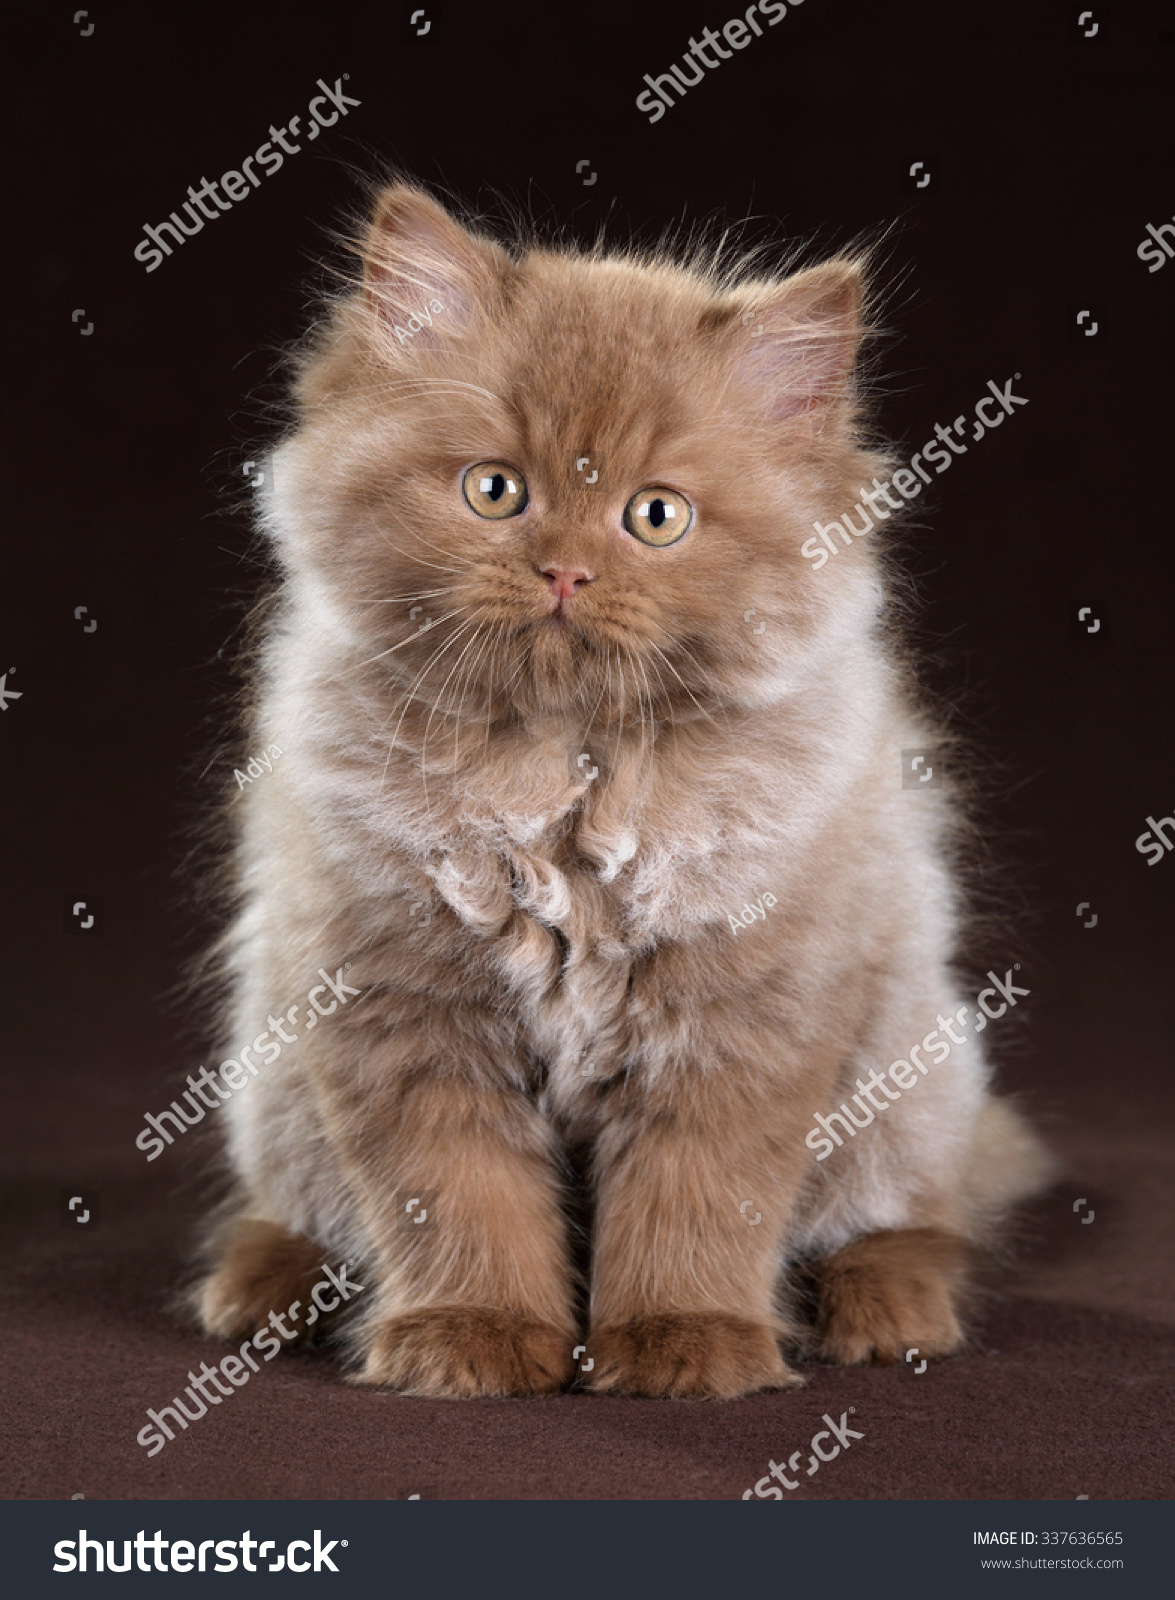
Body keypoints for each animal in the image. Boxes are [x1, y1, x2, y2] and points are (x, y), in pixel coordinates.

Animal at [197, 181, 1056, 1395]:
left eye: (655, 515)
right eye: (496, 490)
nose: (564, 569)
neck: (565, 773)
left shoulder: (741, 1012)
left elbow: (694, 1201)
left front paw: (681, 1342)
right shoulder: (392, 998)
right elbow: (451, 1197)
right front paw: (470, 1336)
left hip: (907, 1077)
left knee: (908, 1219)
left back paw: (888, 1309)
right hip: (271, 1076)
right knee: (297, 1207)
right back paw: (262, 1288)